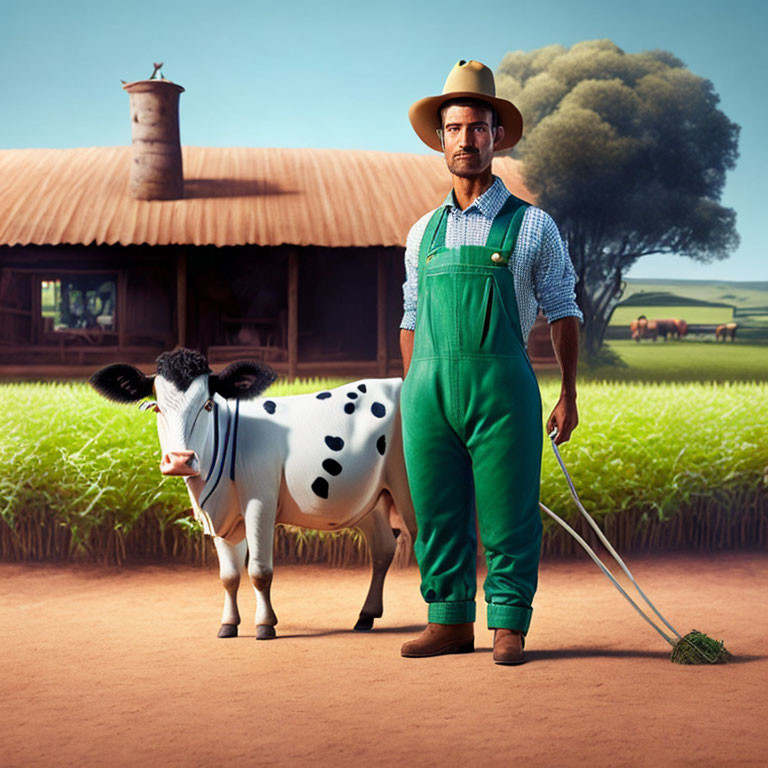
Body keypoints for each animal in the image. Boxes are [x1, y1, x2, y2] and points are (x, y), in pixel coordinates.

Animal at [92, 348, 416, 636]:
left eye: (207, 405)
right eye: (157, 407)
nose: (180, 460)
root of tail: (396, 381)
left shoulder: (260, 503)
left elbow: (260, 571)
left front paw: (265, 625)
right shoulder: (221, 517)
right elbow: (229, 576)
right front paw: (228, 625)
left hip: (406, 489)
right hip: (373, 500)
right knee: (383, 548)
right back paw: (366, 615)